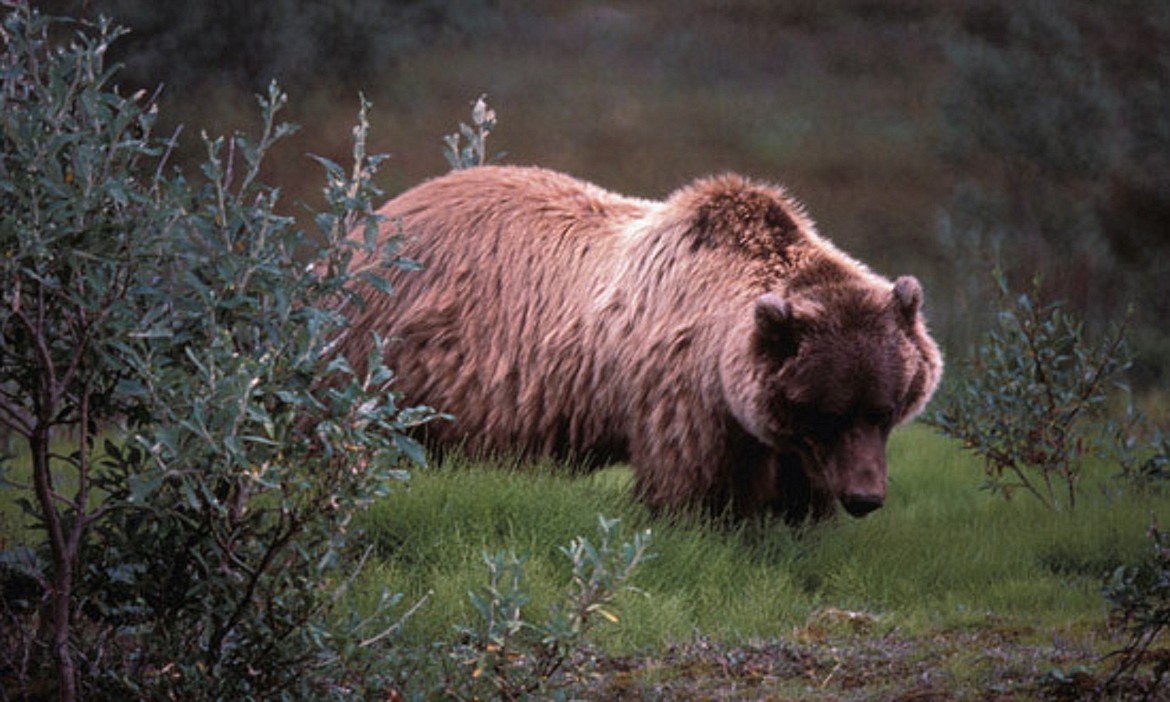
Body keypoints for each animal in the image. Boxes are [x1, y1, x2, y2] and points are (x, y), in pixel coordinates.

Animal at [339, 166, 940, 521]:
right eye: (828, 411)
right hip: (394, 351)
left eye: (884, 409)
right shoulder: (685, 391)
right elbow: (692, 483)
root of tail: (371, 221)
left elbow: (798, 487)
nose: (865, 497)